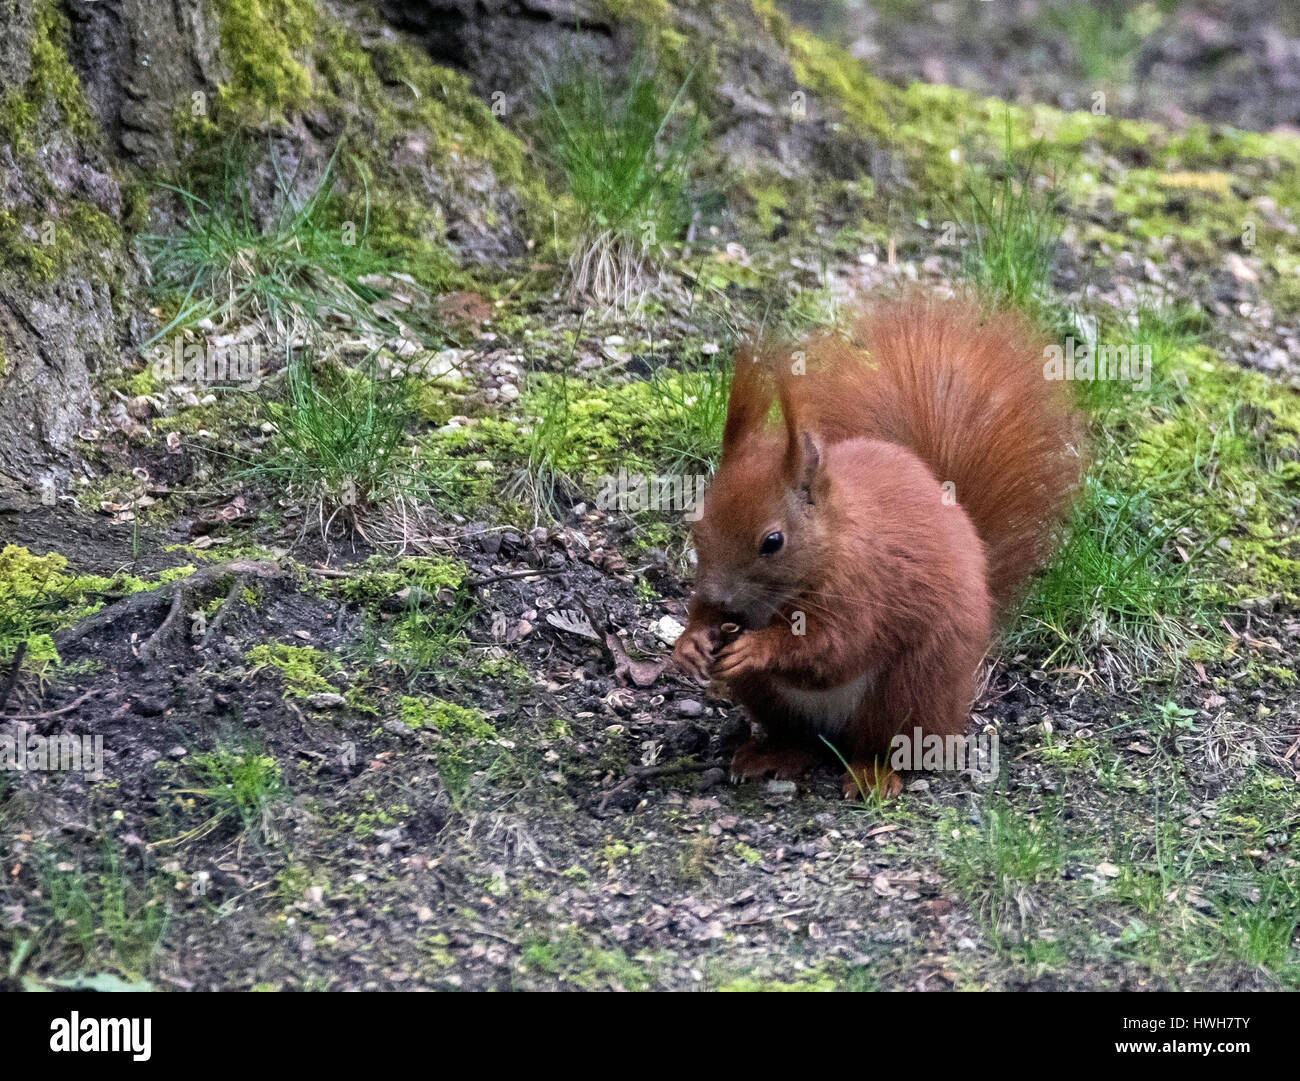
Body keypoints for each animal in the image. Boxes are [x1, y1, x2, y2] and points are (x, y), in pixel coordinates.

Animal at [676, 291, 1081, 800]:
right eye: (697, 520)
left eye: (773, 542)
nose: (718, 598)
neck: (832, 546)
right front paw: (689, 641)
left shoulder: (864, 589)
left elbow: (832, 648)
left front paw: (757, 648)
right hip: (771, 701)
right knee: (799, 739)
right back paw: (771, 755)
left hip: (909, 690)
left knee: (885, 743)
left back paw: (872, 774)